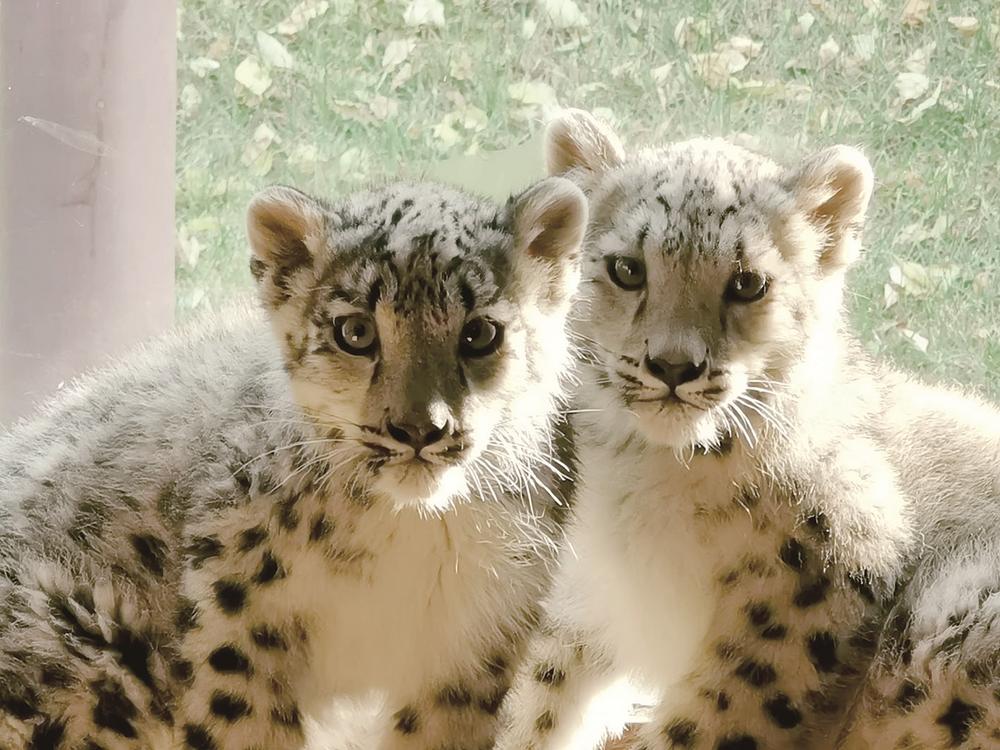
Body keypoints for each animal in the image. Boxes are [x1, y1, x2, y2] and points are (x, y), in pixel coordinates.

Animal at [0, 176, 589, 749]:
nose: (421, 429)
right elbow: (241, 725)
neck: (414, 538)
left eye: (480, 332)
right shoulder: (240, 627)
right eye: (355, 332)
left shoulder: (473, 656)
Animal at [493, 109, 1000, 750]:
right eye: (627, 269)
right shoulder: (581, 595)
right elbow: (534, 698)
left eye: (747, 283)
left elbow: (706, 723)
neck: (645, 483)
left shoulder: (801, 597)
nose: (673, 366)